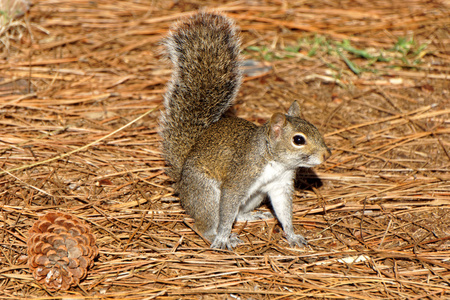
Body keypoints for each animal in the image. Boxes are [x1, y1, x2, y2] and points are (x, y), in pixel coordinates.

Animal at [161, 12, 330, 251]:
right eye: (298, 140)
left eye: (315, 128)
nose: (326, 155)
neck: (274, 161)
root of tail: (181, 180)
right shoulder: (239, 177)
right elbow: (227, 210)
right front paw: (223, 236)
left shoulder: (280, 185)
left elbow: (283, 211)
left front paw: (292, 234)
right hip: (206, 194)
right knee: (206, 222)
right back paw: (216, 237)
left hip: (255, 196)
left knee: (237, 214)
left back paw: (250, 217)